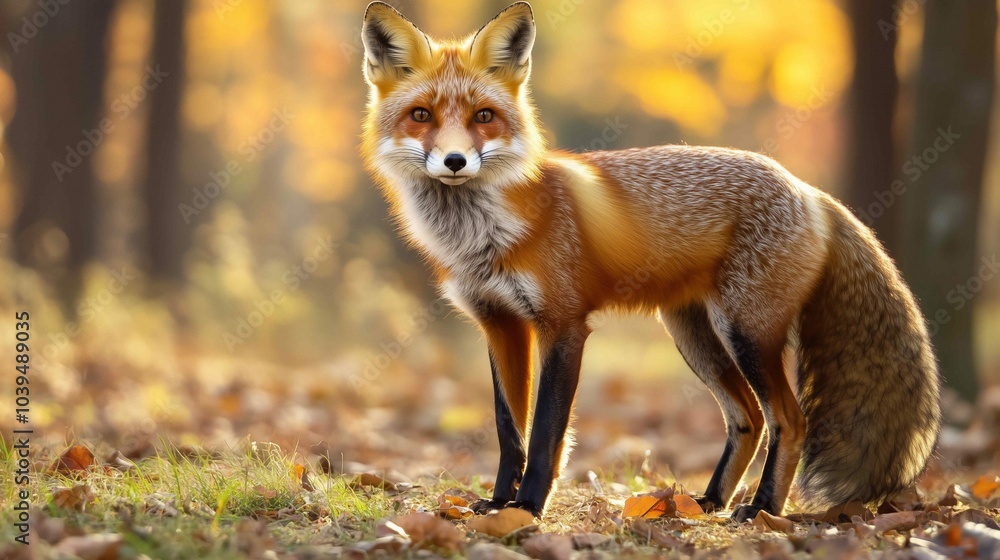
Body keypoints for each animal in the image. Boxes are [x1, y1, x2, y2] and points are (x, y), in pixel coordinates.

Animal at [359, 1, 941, 521]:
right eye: (421, 116)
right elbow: (510, 432)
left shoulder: (563, 324)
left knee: (789, 420)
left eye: (484, 116)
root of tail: (808, 191)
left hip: (747, 332)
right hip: (694, 335)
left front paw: (527, 508)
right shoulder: (500, 324)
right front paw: (499, 504)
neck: (484, 236)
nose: (455, 161)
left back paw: (761, 511)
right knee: (749, 418)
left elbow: (545, 433)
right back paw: (708, 502)